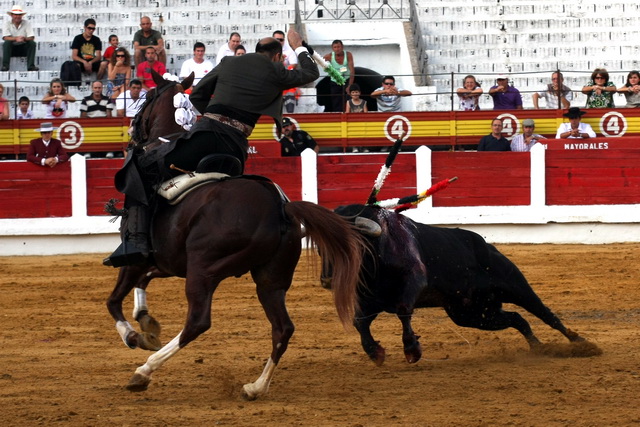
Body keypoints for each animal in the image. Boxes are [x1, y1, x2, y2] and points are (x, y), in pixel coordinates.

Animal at [105, 70, 364, 402]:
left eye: (146, 98)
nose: (132, 130)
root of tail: (281, 207)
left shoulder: (138, 259)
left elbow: (114, 300)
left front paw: (134, 336)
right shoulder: (168, 261)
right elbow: (143, 282)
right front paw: (148, 323)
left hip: (204, 271)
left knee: (197, 322)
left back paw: (144, 371)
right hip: (269, 279)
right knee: (283, 328)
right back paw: (255, 386)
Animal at [324, 206, 600, 366]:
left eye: (351, 244)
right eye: (320, 247)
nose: (327, 280)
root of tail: (487, 246)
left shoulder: (414, 282)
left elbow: (403, 311)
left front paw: (412, 349)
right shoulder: (371, 300)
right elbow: (360, 322)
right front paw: (375, 352)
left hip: (516, 287)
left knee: (545, 314)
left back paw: (582, 343)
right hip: (472, 313)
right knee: (517, 318)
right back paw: (538, 348)